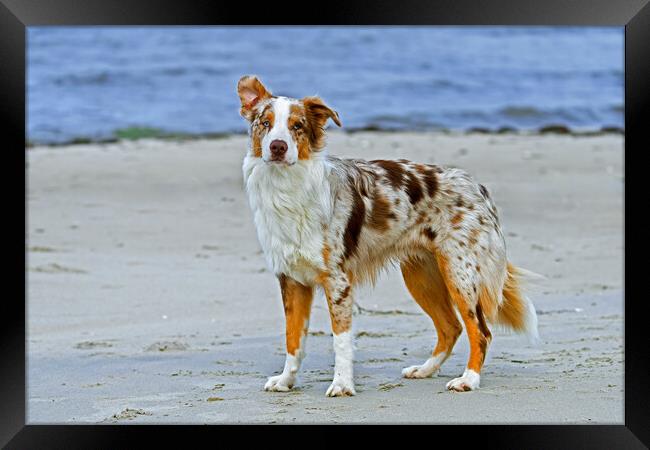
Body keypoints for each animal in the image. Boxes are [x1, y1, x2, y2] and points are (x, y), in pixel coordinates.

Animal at [235, 75, 536, 396]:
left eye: (297, 126)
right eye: (265, 123)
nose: (278, 147)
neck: (288, 188)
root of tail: (476, 185)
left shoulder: (338, 280)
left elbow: (341, 339)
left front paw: (342, 384)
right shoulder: (291, 279)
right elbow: (293, 339)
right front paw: (286, 381)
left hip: (460, 274)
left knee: (480, 330)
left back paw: (469, 379)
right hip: (421, 275)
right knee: (450, 327)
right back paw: (425, 370)